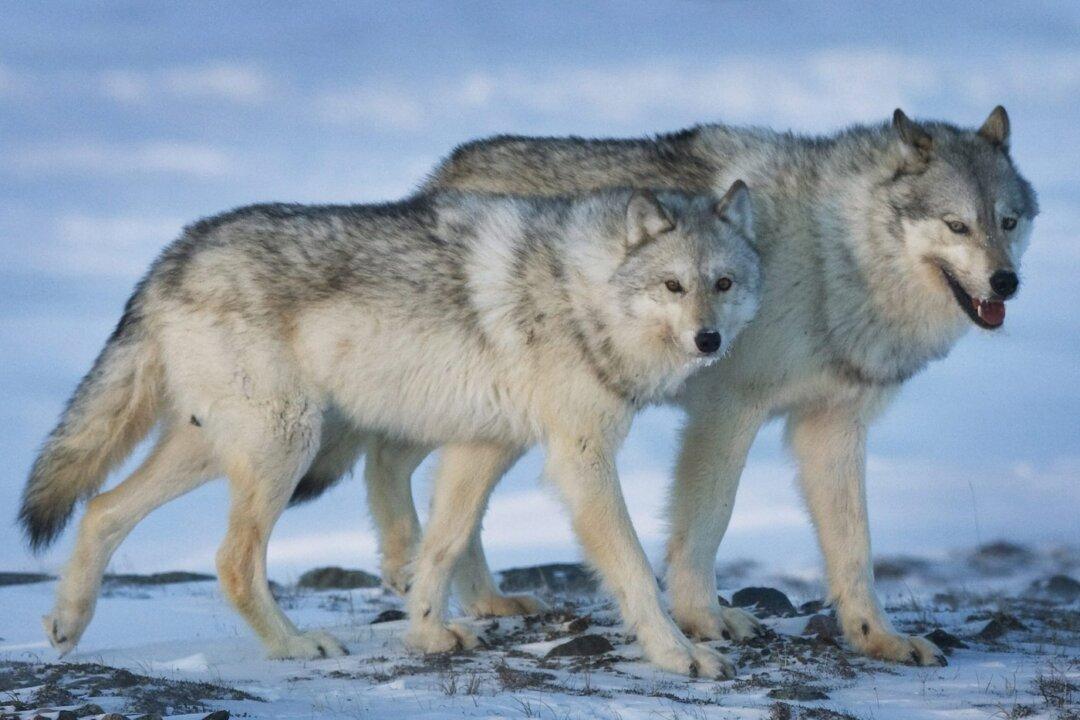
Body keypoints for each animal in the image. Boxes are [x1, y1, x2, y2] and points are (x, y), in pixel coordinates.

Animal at [21, 184, 762, 677]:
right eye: (672, 286)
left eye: (723, 283)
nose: (709, 340)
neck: (581, 293)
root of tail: (174, 253)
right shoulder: (580, 459)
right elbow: (634, 570)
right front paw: (679, 653)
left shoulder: (483, 447)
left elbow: (441, 545)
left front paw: (428, 635)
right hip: (285, 443)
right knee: (231, 559)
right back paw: (294, 646)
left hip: (222, 445)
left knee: (101, 508)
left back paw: (66, 624)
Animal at [295, 107, 1037, 667]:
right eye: (956, 225)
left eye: (1007, 221)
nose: (1006, 283)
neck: (834, 256)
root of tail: (440, 177)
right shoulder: (729, 410)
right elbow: (707, 521)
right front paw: (702, 622)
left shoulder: (831, 425)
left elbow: (854, 550)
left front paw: (877, 638)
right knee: (390, 459)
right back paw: (412, 570)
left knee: (417, 473)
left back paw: (478, 598)